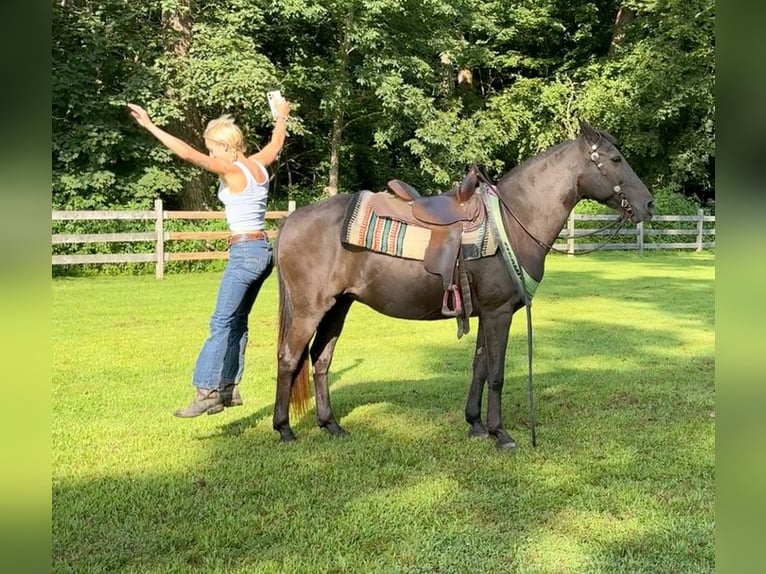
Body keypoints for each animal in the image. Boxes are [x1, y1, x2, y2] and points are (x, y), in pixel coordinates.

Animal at [272, 119, 655, 450]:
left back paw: (331, 425)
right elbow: (497, 373)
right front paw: (501, 433)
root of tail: (291, 219)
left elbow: (480, 367)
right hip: (310, 310)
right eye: (616, 159)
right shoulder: (499, 312)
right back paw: (285, 430)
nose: (649, 204)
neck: (513, 221)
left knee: (321, 359)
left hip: (338, 306)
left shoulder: (487, 313)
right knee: (289, 358)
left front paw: (476, 424)